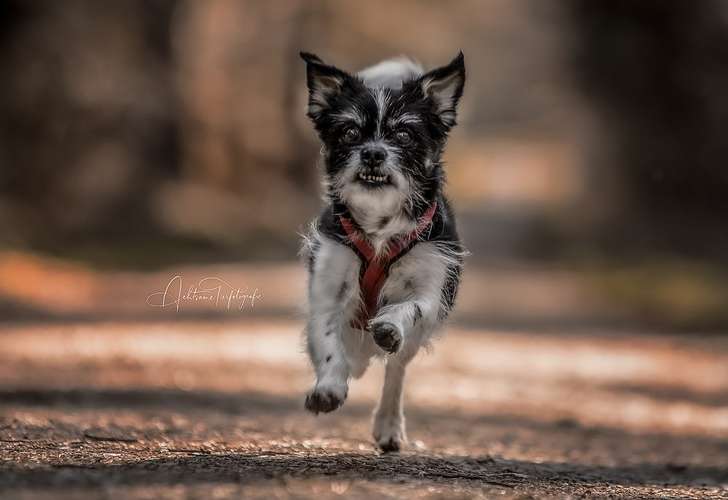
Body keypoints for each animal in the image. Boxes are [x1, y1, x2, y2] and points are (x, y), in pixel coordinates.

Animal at [300, 51, 466, 454]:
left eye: (403, 134)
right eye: (350, 133)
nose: (373, 152)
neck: (379, 224)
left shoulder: (430, 290)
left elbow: (409, 308)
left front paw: (389, 325)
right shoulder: (328, 291)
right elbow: (327, 340)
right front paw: (329, 387)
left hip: (411, 345)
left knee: (396, 371)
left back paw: (389, 425)